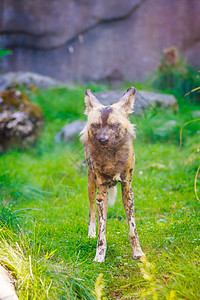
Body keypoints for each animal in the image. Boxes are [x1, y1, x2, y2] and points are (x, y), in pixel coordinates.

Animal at [80, 87, 145, 262]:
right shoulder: (101, 192)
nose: (102, 140)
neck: (111, 156)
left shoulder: (127, 188)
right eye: (95, 125)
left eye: (114, 125)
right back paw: (90, 234)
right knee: (92, 213)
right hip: (91, 187)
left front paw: (137, 252)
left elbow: (133, 229)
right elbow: (101, 233)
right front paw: (99, 257)